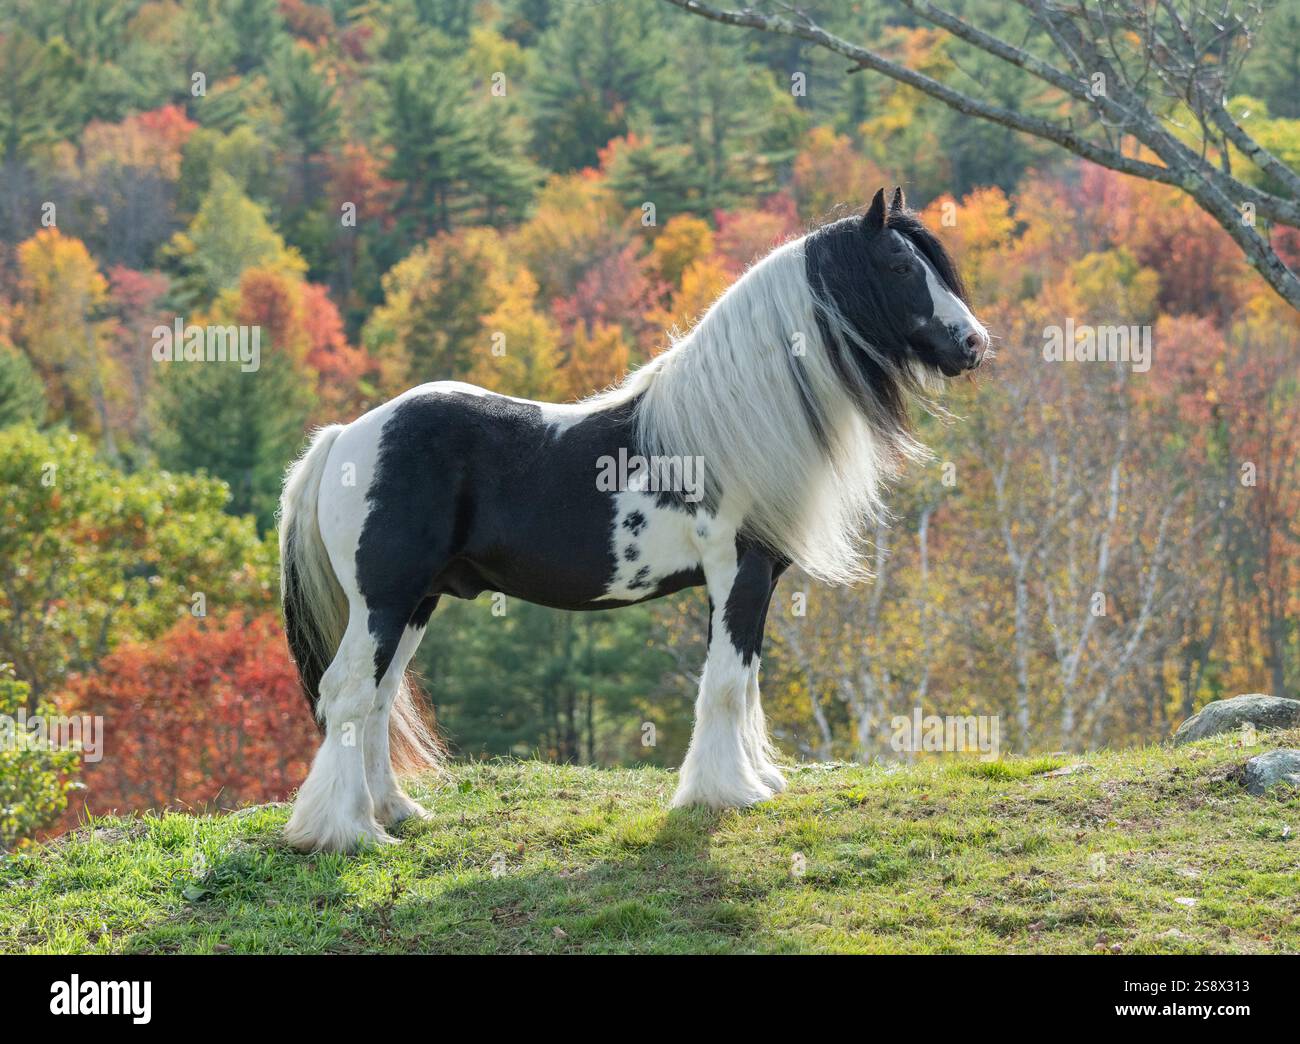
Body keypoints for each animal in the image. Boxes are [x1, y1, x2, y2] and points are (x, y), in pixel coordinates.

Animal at [278, 186, 989, 852]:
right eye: (899, 264)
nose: (974, 344)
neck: (730, 424)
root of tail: (344, 437)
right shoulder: (737, 573)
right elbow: (725, 683)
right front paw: (724, 793)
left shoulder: (757, 580)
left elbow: (746, 680)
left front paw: (756, 779)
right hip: (385, 600)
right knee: (349, 692)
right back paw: (348, 832)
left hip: (415, 601)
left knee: (379, 698)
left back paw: (395, 812)